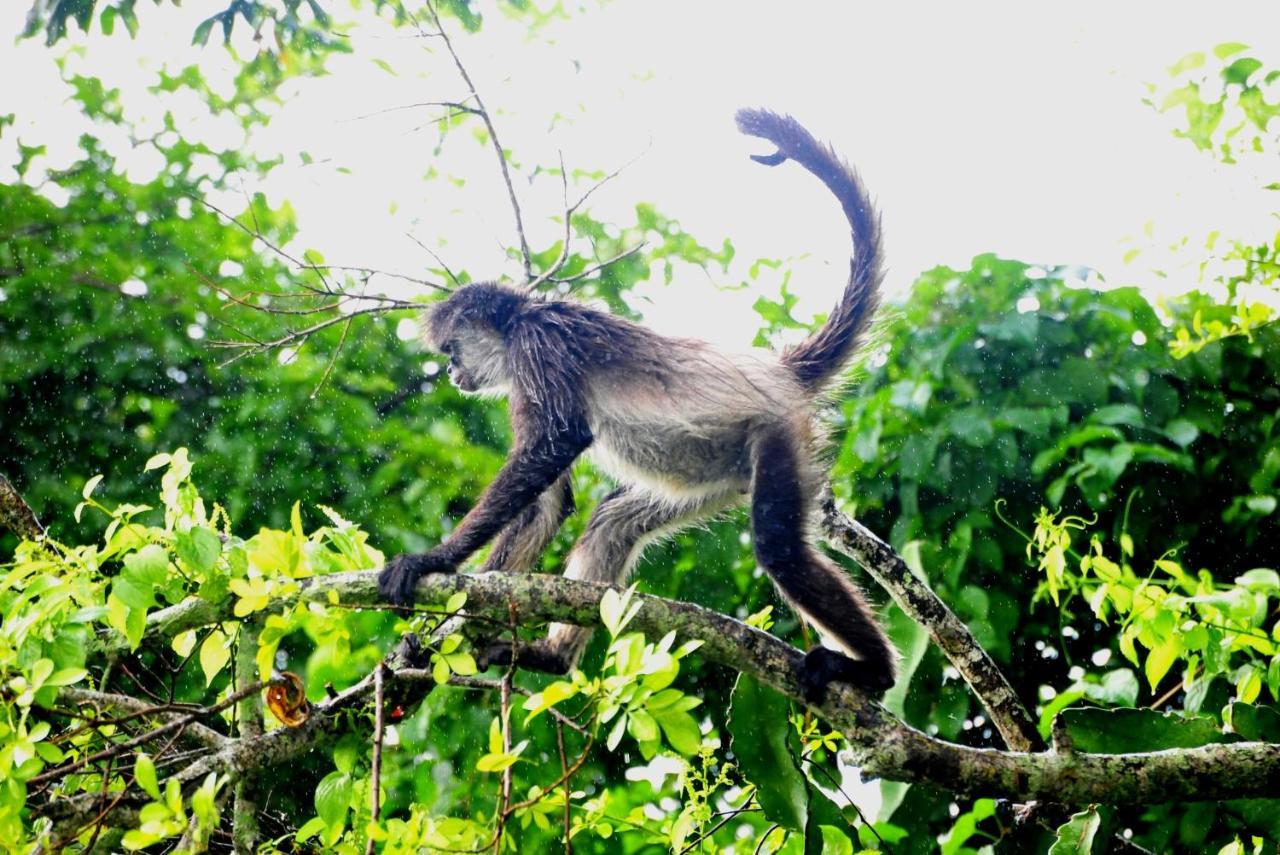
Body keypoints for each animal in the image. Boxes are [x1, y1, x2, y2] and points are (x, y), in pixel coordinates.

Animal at [373, 108, 896, 701]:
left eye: (452, 351)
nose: (454, 375)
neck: (524, 318)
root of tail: (778, 370)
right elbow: (548, 505)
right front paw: (446, 630)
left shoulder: (538, 345)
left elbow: (557, 442)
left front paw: (429, 561)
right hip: (718, 474)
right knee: (612, 521)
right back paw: (554, 658)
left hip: (778, 435)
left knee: (778, 547)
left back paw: (874, 671)